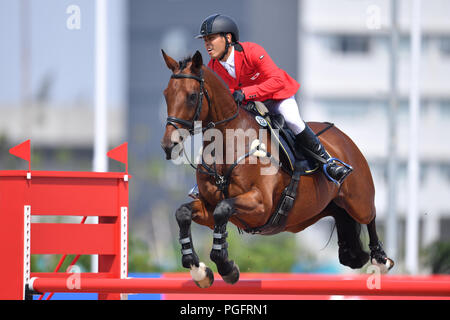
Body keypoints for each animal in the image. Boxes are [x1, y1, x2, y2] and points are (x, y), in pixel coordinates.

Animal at [160, 50, 392, 288]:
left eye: (191, 96)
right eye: (166, 94)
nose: (169, 146)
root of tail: (342, 137)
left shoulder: (260, 205)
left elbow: (223, 210)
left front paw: (226, 267)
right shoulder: (209, 205)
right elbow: (185, 213)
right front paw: (199, 270)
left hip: (357, 199)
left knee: (370, 215)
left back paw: (381, 259)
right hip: (320, 210)